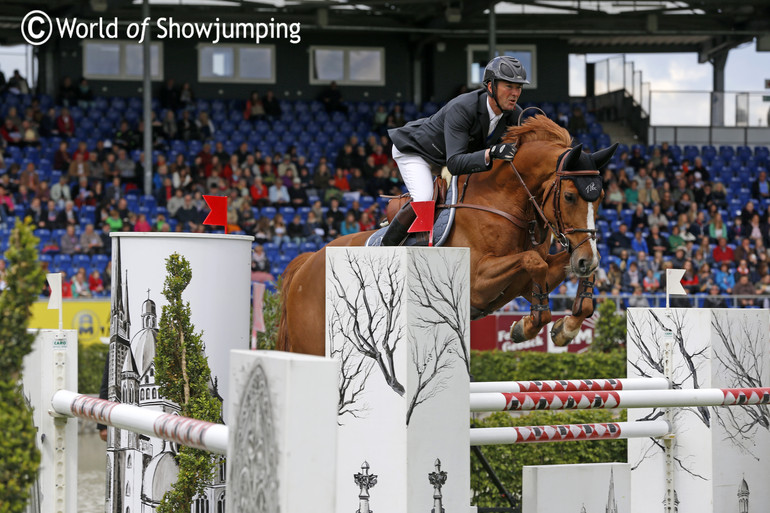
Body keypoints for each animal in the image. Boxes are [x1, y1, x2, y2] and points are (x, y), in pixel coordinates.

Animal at [280, 114, 616, 356]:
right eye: (570, 196)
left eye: (599, 198)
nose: (586, 258)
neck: (502, 200)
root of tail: (307, 262)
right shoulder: (478, 281)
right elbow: (535, 261)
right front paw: (530, 325)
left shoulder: (519, 283)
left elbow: (545, 268)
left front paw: (563, 327)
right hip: (315, 343)